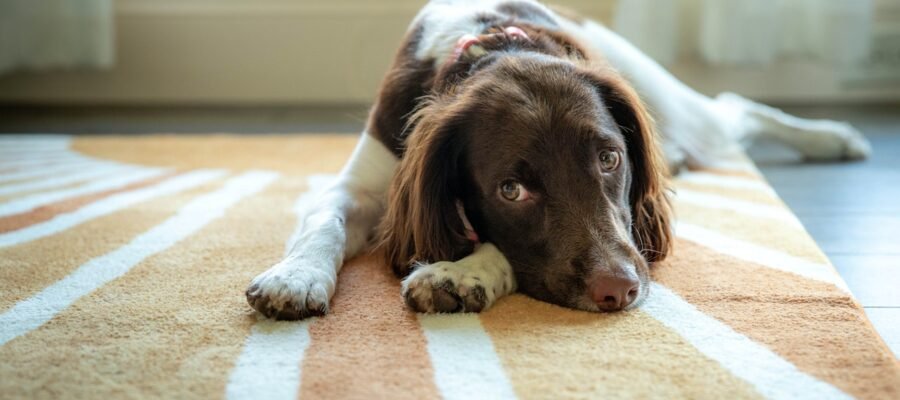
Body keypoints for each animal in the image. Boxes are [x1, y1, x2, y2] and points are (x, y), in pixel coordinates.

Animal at [244, 0, 872, 318]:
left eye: (610, 158)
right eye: (511, 190)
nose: (619, 291)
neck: (495, 43)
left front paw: (461, 273)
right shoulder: (369, 180)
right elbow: (325, 219)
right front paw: (295, 276)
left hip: (675, 108)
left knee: (735, 107)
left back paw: (835, 138)